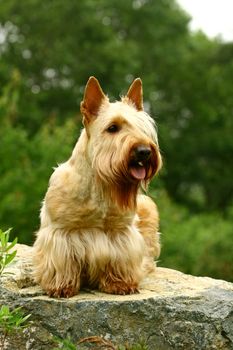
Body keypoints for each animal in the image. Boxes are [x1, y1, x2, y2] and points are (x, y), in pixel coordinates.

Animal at [33, 75, 162, 296]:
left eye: (143, 128)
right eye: (113, 128)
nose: (144, 151)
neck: (100, 187)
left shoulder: (121, 233)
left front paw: (121, 283)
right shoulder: (60, 233)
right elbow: (61, 263)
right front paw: (61, 286)